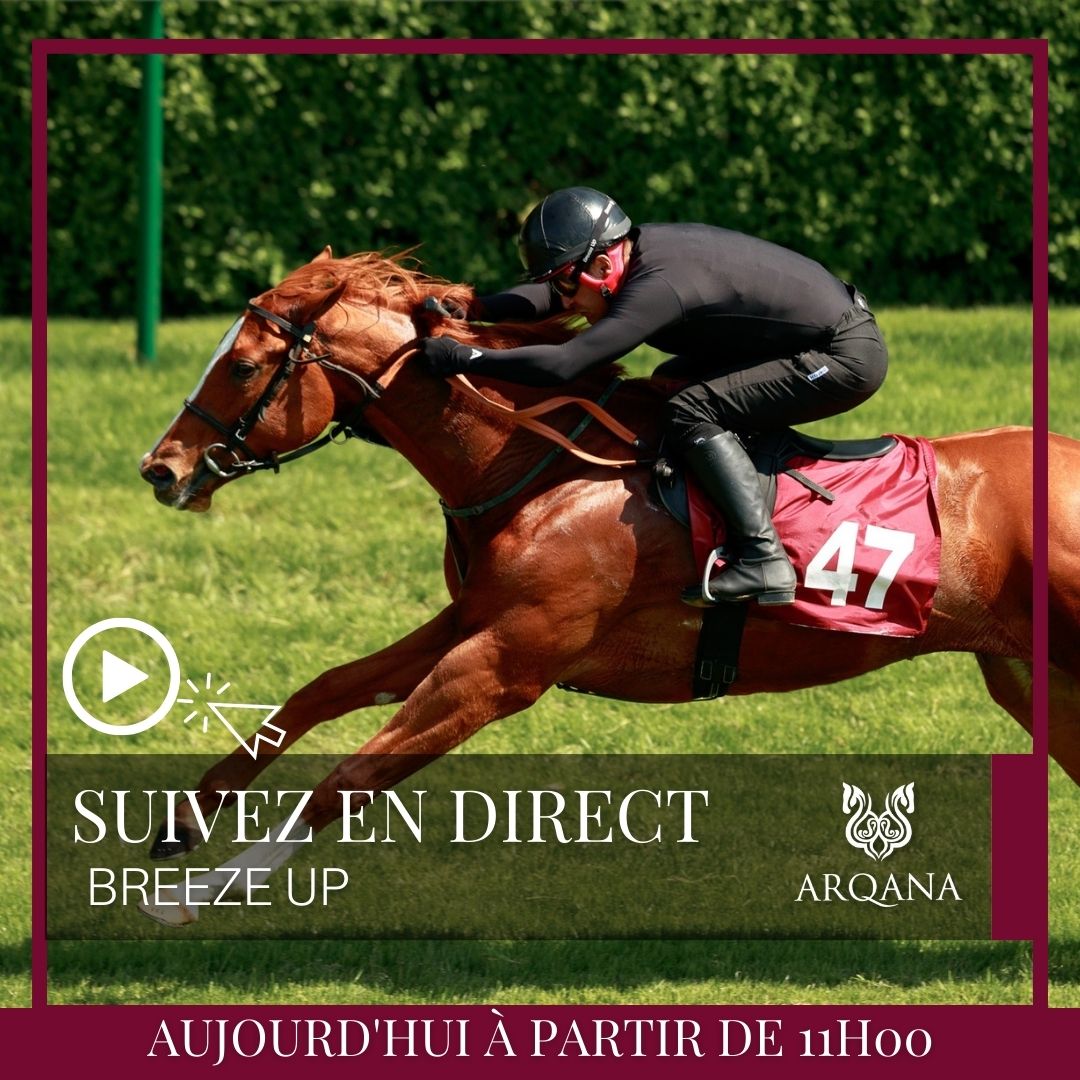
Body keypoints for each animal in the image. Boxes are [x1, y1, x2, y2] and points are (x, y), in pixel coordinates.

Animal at [138, 248, 1080, 924]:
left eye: (243, 365)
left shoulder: (506, 664)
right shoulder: (472, 622)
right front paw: (185, 821)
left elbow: (350, 777)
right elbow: (321, 691)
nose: (161, 469)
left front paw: (193, 898)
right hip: (1034, 681)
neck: (541, 464)